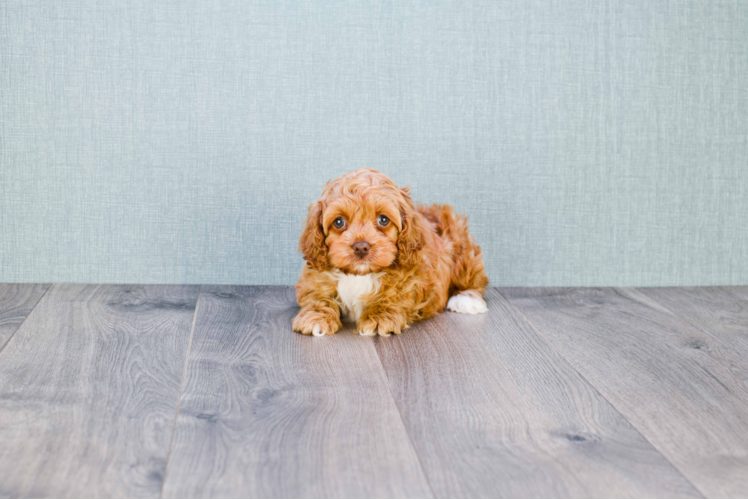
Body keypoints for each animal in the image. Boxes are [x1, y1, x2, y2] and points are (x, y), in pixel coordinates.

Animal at [292, 167, 490, 336]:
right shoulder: (314, 277)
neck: (360, 275)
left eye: (383, 220)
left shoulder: (416, 277)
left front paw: (379, 317)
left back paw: (466, 299)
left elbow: (397, 296)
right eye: (339, 222)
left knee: (475, 281)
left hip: (463, 252)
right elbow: (316, 296)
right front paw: (316, 317)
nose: (361, 246)